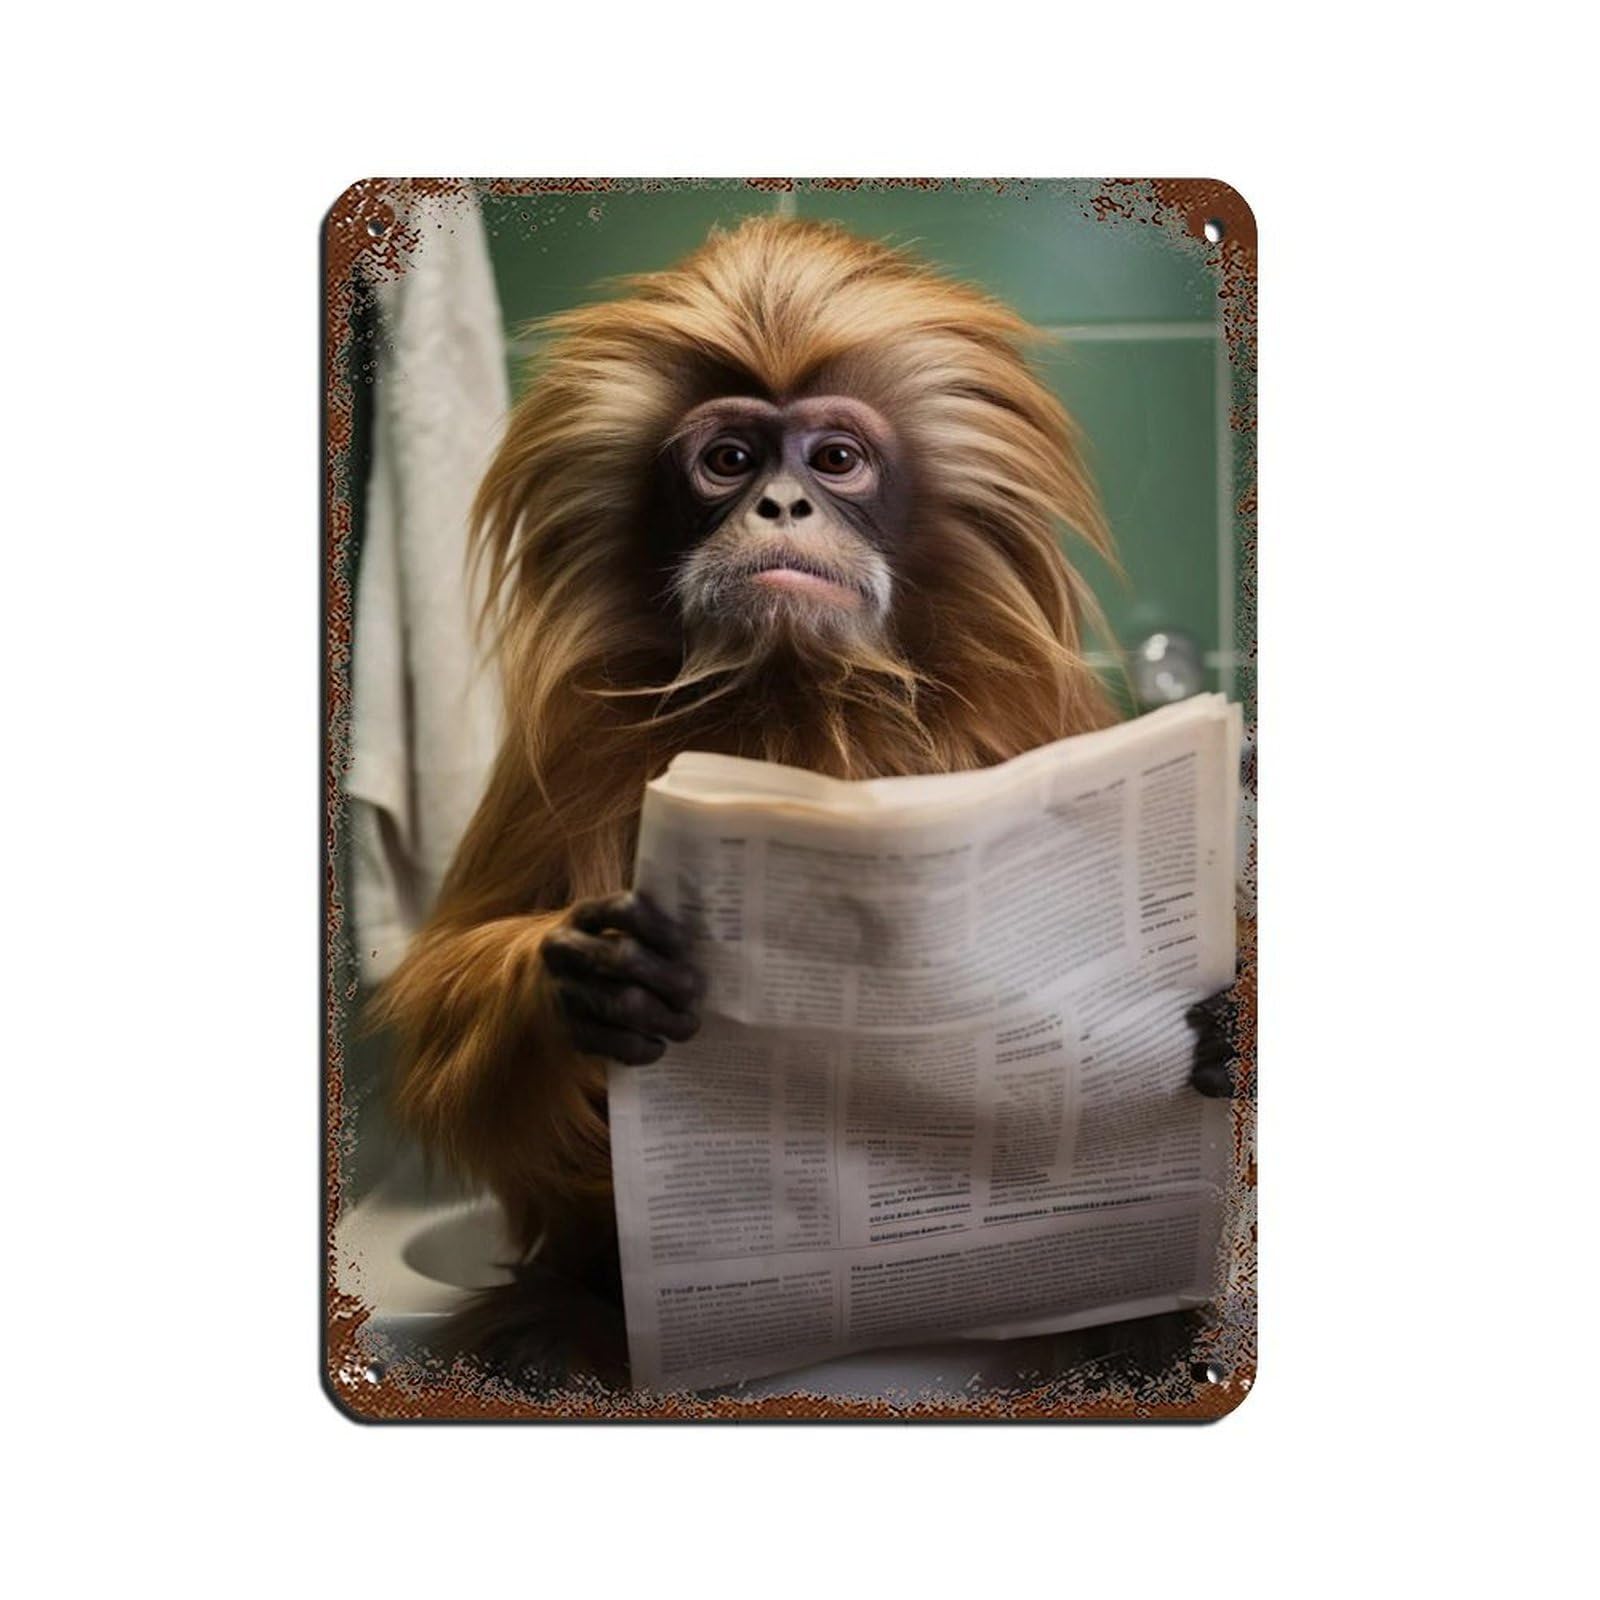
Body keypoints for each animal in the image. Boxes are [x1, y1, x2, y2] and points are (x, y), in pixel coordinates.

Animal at [377, 216, 1239, 1391]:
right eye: (730, 461)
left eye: (833, 460)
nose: (779, 506)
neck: (797, 696)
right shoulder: (565, 740)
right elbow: (444, 998)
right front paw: (593, 984)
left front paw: (1224, 1034)